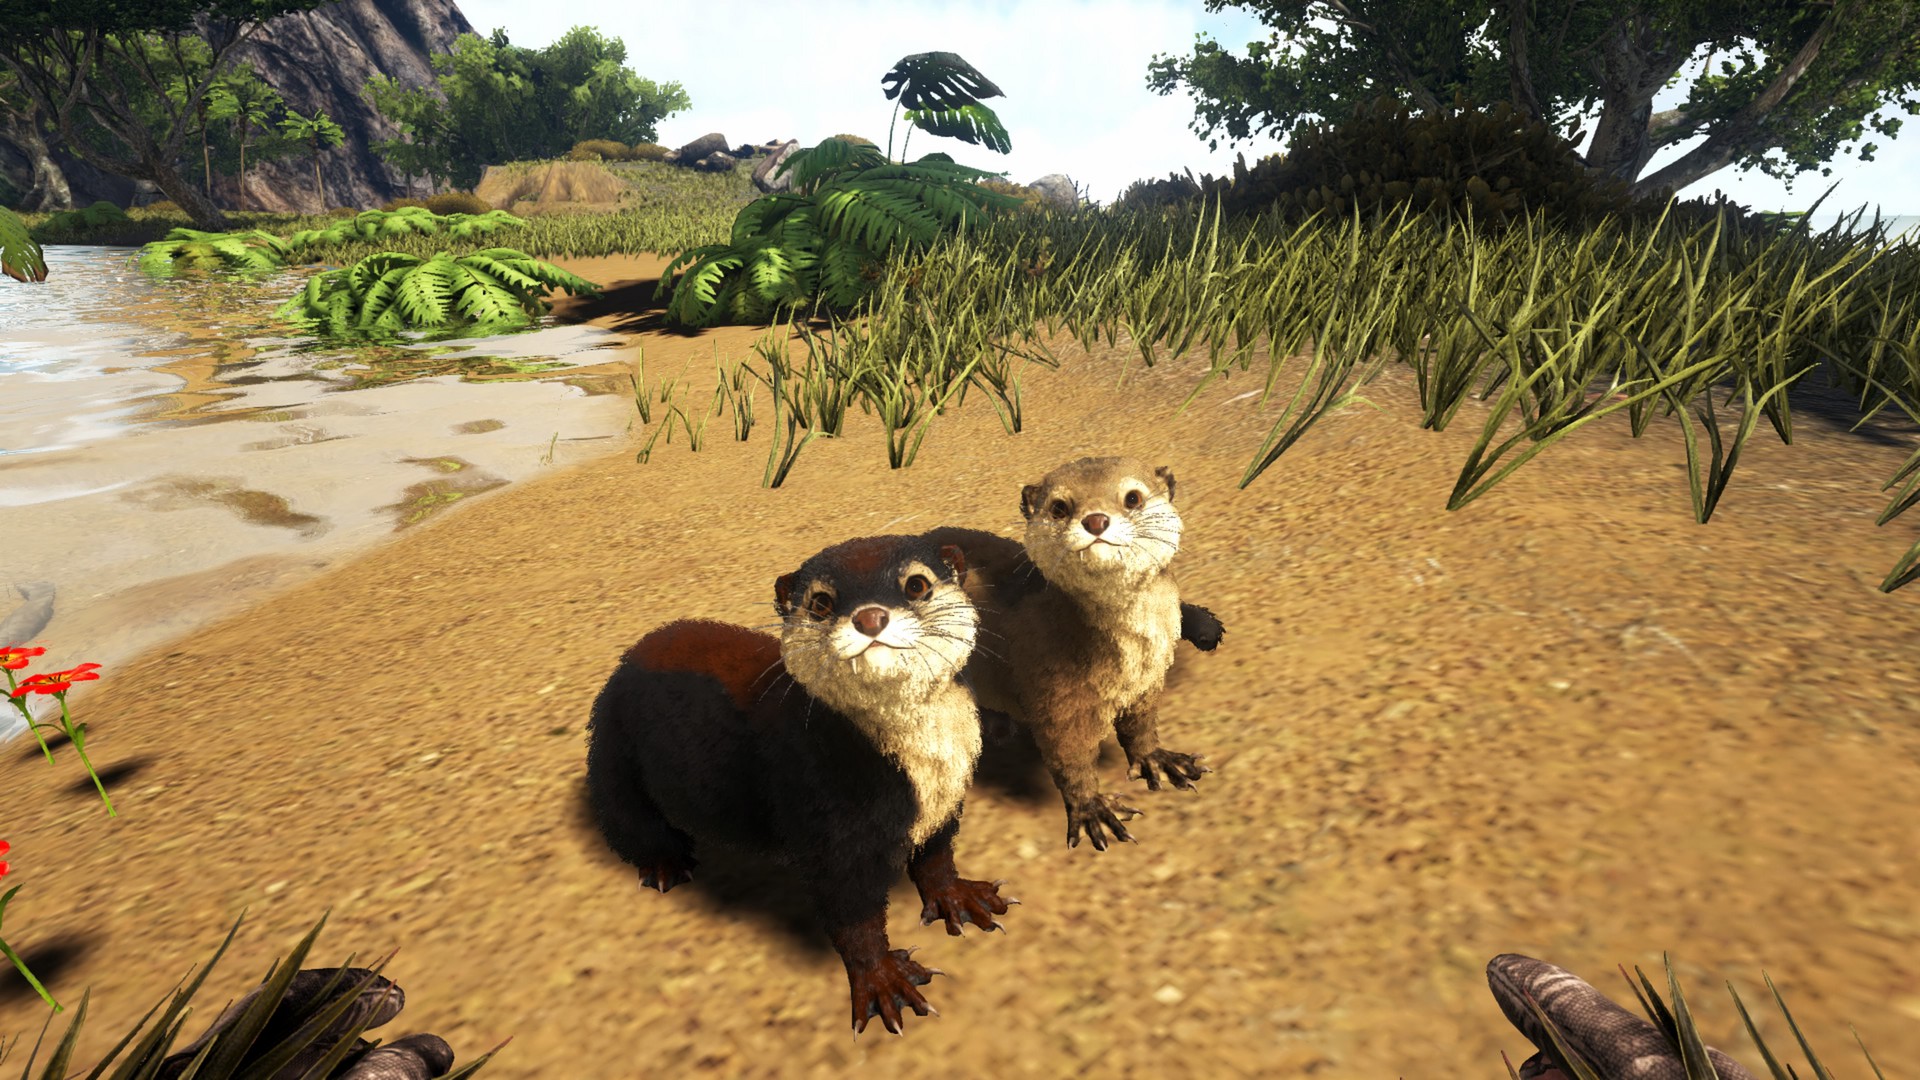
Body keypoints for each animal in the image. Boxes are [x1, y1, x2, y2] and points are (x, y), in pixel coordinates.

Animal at [585, 534, 1014, 1035]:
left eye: (916, 584)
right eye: (821, 601)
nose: (870, 617)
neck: (922, 770)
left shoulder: (948, 800)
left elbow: (937, 858)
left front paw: (960, 899)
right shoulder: (828, 825)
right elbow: (853, 918)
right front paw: (884, 981)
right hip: (613, 754)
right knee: (627, 820)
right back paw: (665, 866)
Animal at [926, 456, 1222, 851]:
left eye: (1132, 497)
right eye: (1059, 507)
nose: (1096, 520)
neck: (1127, 659)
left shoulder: (1149, 679)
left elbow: (1141, 725)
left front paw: (1157, 760)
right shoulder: (1055, 697)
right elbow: (1070, 759)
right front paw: (1093, 808)